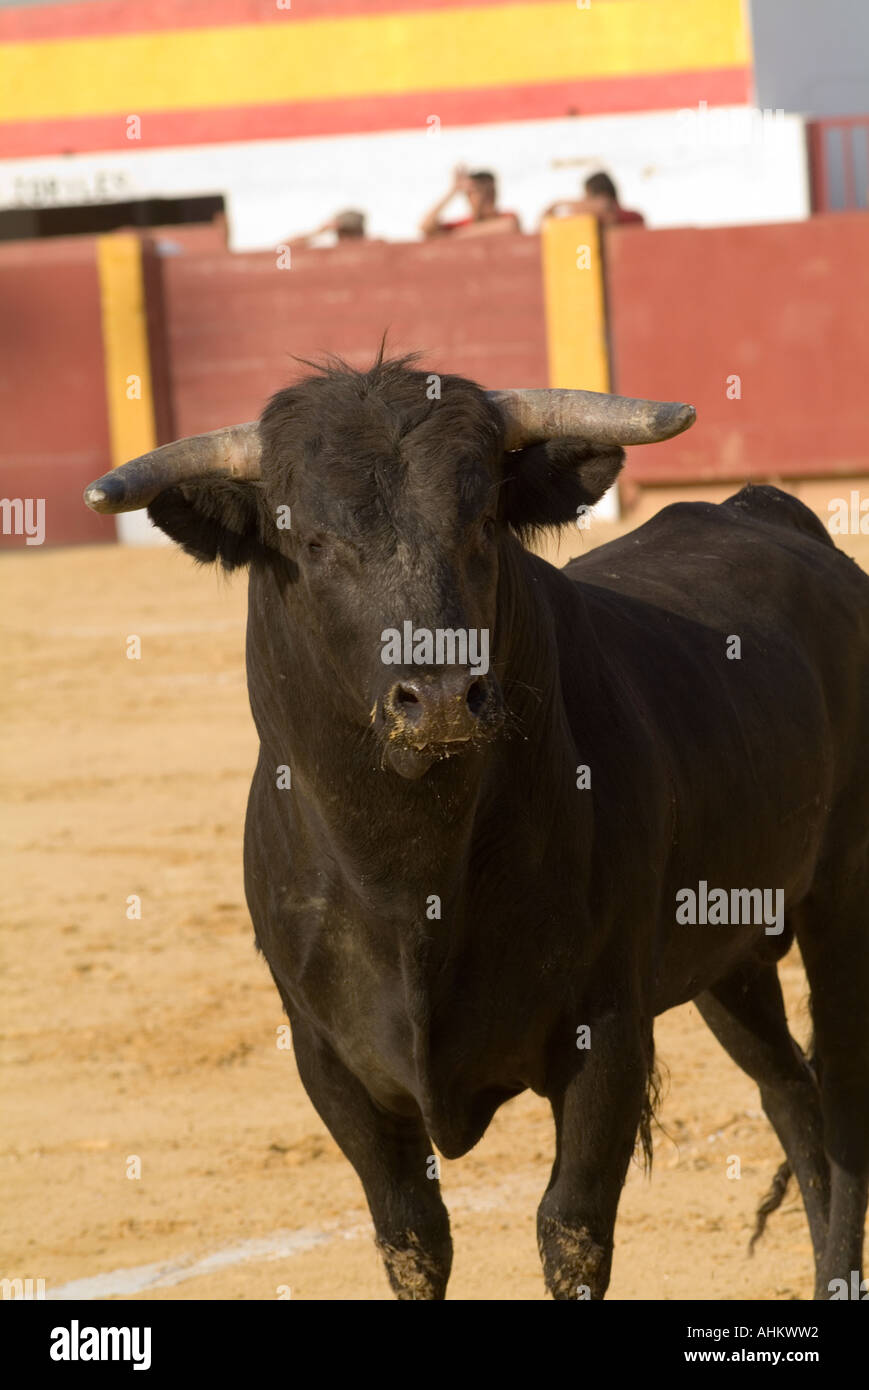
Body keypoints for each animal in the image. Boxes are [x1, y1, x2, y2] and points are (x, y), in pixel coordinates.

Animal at [83, 353, 867, 1295]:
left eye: (484, 521)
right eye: (309, 543)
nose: (445, 696)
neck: (408, 878)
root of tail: (770, 513)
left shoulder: (607, 1034)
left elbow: (570, 1228)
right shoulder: (330, 1064)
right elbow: (412, 1237)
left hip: (842, 901)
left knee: (843, 1097)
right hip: (730, 953)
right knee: (791, 1097)